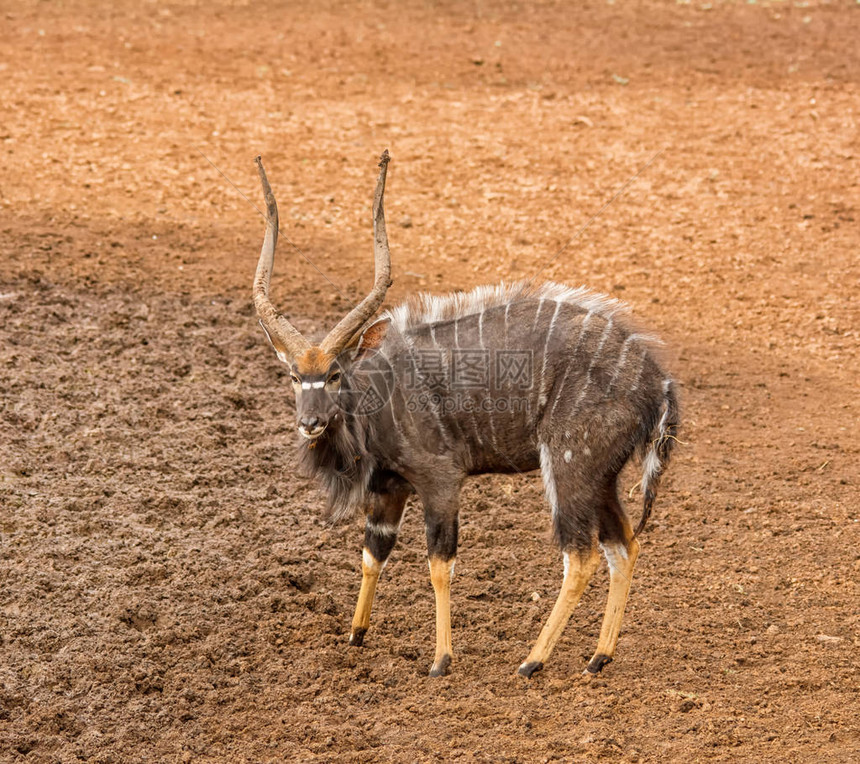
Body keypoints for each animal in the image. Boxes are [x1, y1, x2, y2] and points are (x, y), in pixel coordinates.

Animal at [250, 152, 680, 676]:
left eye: (334, 374)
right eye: (294, 375)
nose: (310, 422)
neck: (378, 394)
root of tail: (657, 381)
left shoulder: (440, 480)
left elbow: (439, 563)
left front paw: (441, 659)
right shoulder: (388, 488)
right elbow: (374, 554)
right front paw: (355, 634)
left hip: (569, 467)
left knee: (581, 555)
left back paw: (532, 662)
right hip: (602, 477)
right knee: (624, 544)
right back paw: (599, 657)